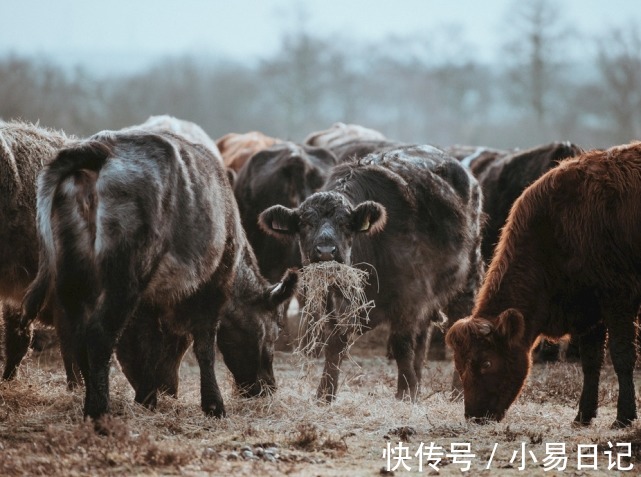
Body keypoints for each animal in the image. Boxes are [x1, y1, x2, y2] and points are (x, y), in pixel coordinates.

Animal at [21, 127, 298, 420]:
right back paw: (99, 410)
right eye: (273, 331)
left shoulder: (150, 301)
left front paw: (147, 397)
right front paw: (213, 405)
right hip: (124, 278)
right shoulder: (213, 286)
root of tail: (102, 148)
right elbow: (204, 346)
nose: (268, 387)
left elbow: (150, 345)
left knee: (77, 335)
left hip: (74, 278)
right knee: (99, 335)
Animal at [258, 145, 482, 402]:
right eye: (305, 223)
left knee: (458, 325)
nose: (325, 251)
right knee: (422, 337)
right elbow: (335, 343)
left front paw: (405, 392)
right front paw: (325, 393)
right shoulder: (335, 303)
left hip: (466, 279)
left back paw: (457, 392)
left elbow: (401, 345)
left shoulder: (408, 298)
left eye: (346, 224)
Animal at [444, 142, 640, 428]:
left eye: (487, 363)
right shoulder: (589, 310)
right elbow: (591, 362)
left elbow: (622, 356)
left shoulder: (619, 301)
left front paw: (623, 417)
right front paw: (583, 415)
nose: (475, 416)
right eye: (460, 365)